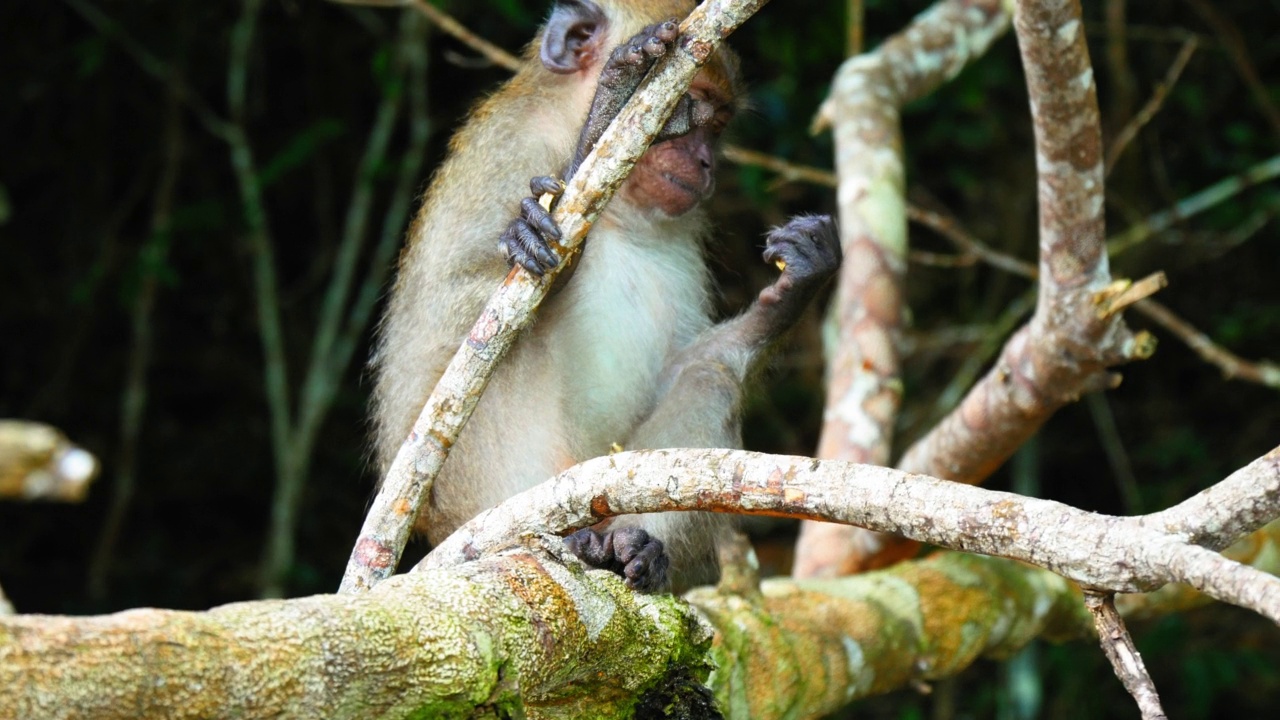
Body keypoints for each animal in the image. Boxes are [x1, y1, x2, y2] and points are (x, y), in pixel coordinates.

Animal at [368, 0, 839, 589]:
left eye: (717, 128)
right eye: (684, 110)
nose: (706, 163)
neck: (615, 211)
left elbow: (684, 365)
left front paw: (792, 288)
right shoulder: (501, 158)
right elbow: (439, 369)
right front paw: (604, 117)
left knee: (706, 380)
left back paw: (629, 548)